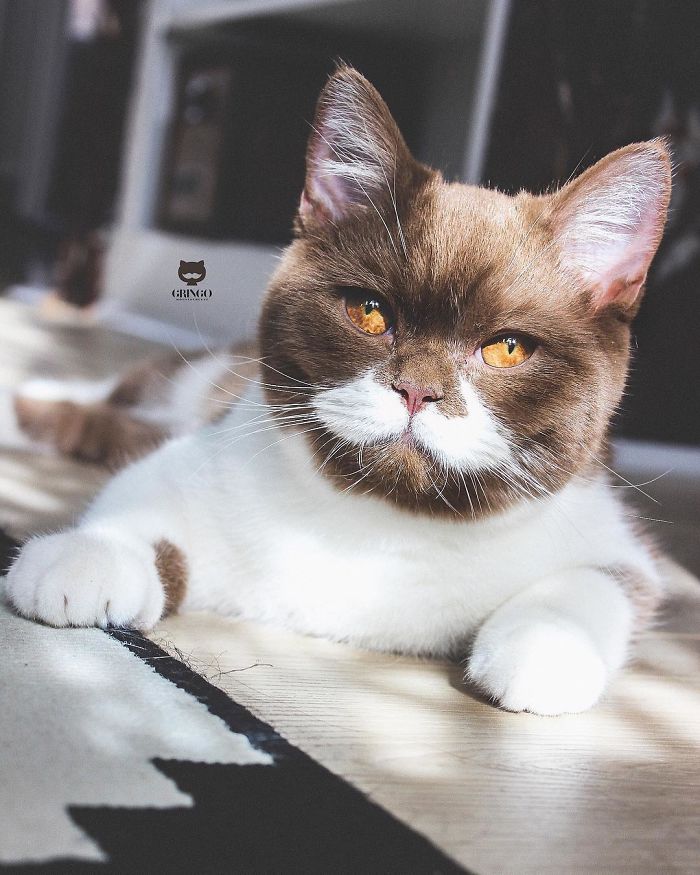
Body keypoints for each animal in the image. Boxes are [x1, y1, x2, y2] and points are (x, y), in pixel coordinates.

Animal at [5, 66, 672, 712]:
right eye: (370, 312)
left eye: (507, 348)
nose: (416, 390)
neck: (382, 528)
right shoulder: (204, 455)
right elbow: (141, 499)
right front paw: (88, 555)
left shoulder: (610, 534)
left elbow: (603, 582)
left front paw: (552, 648)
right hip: (185, 381)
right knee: (106, 394)